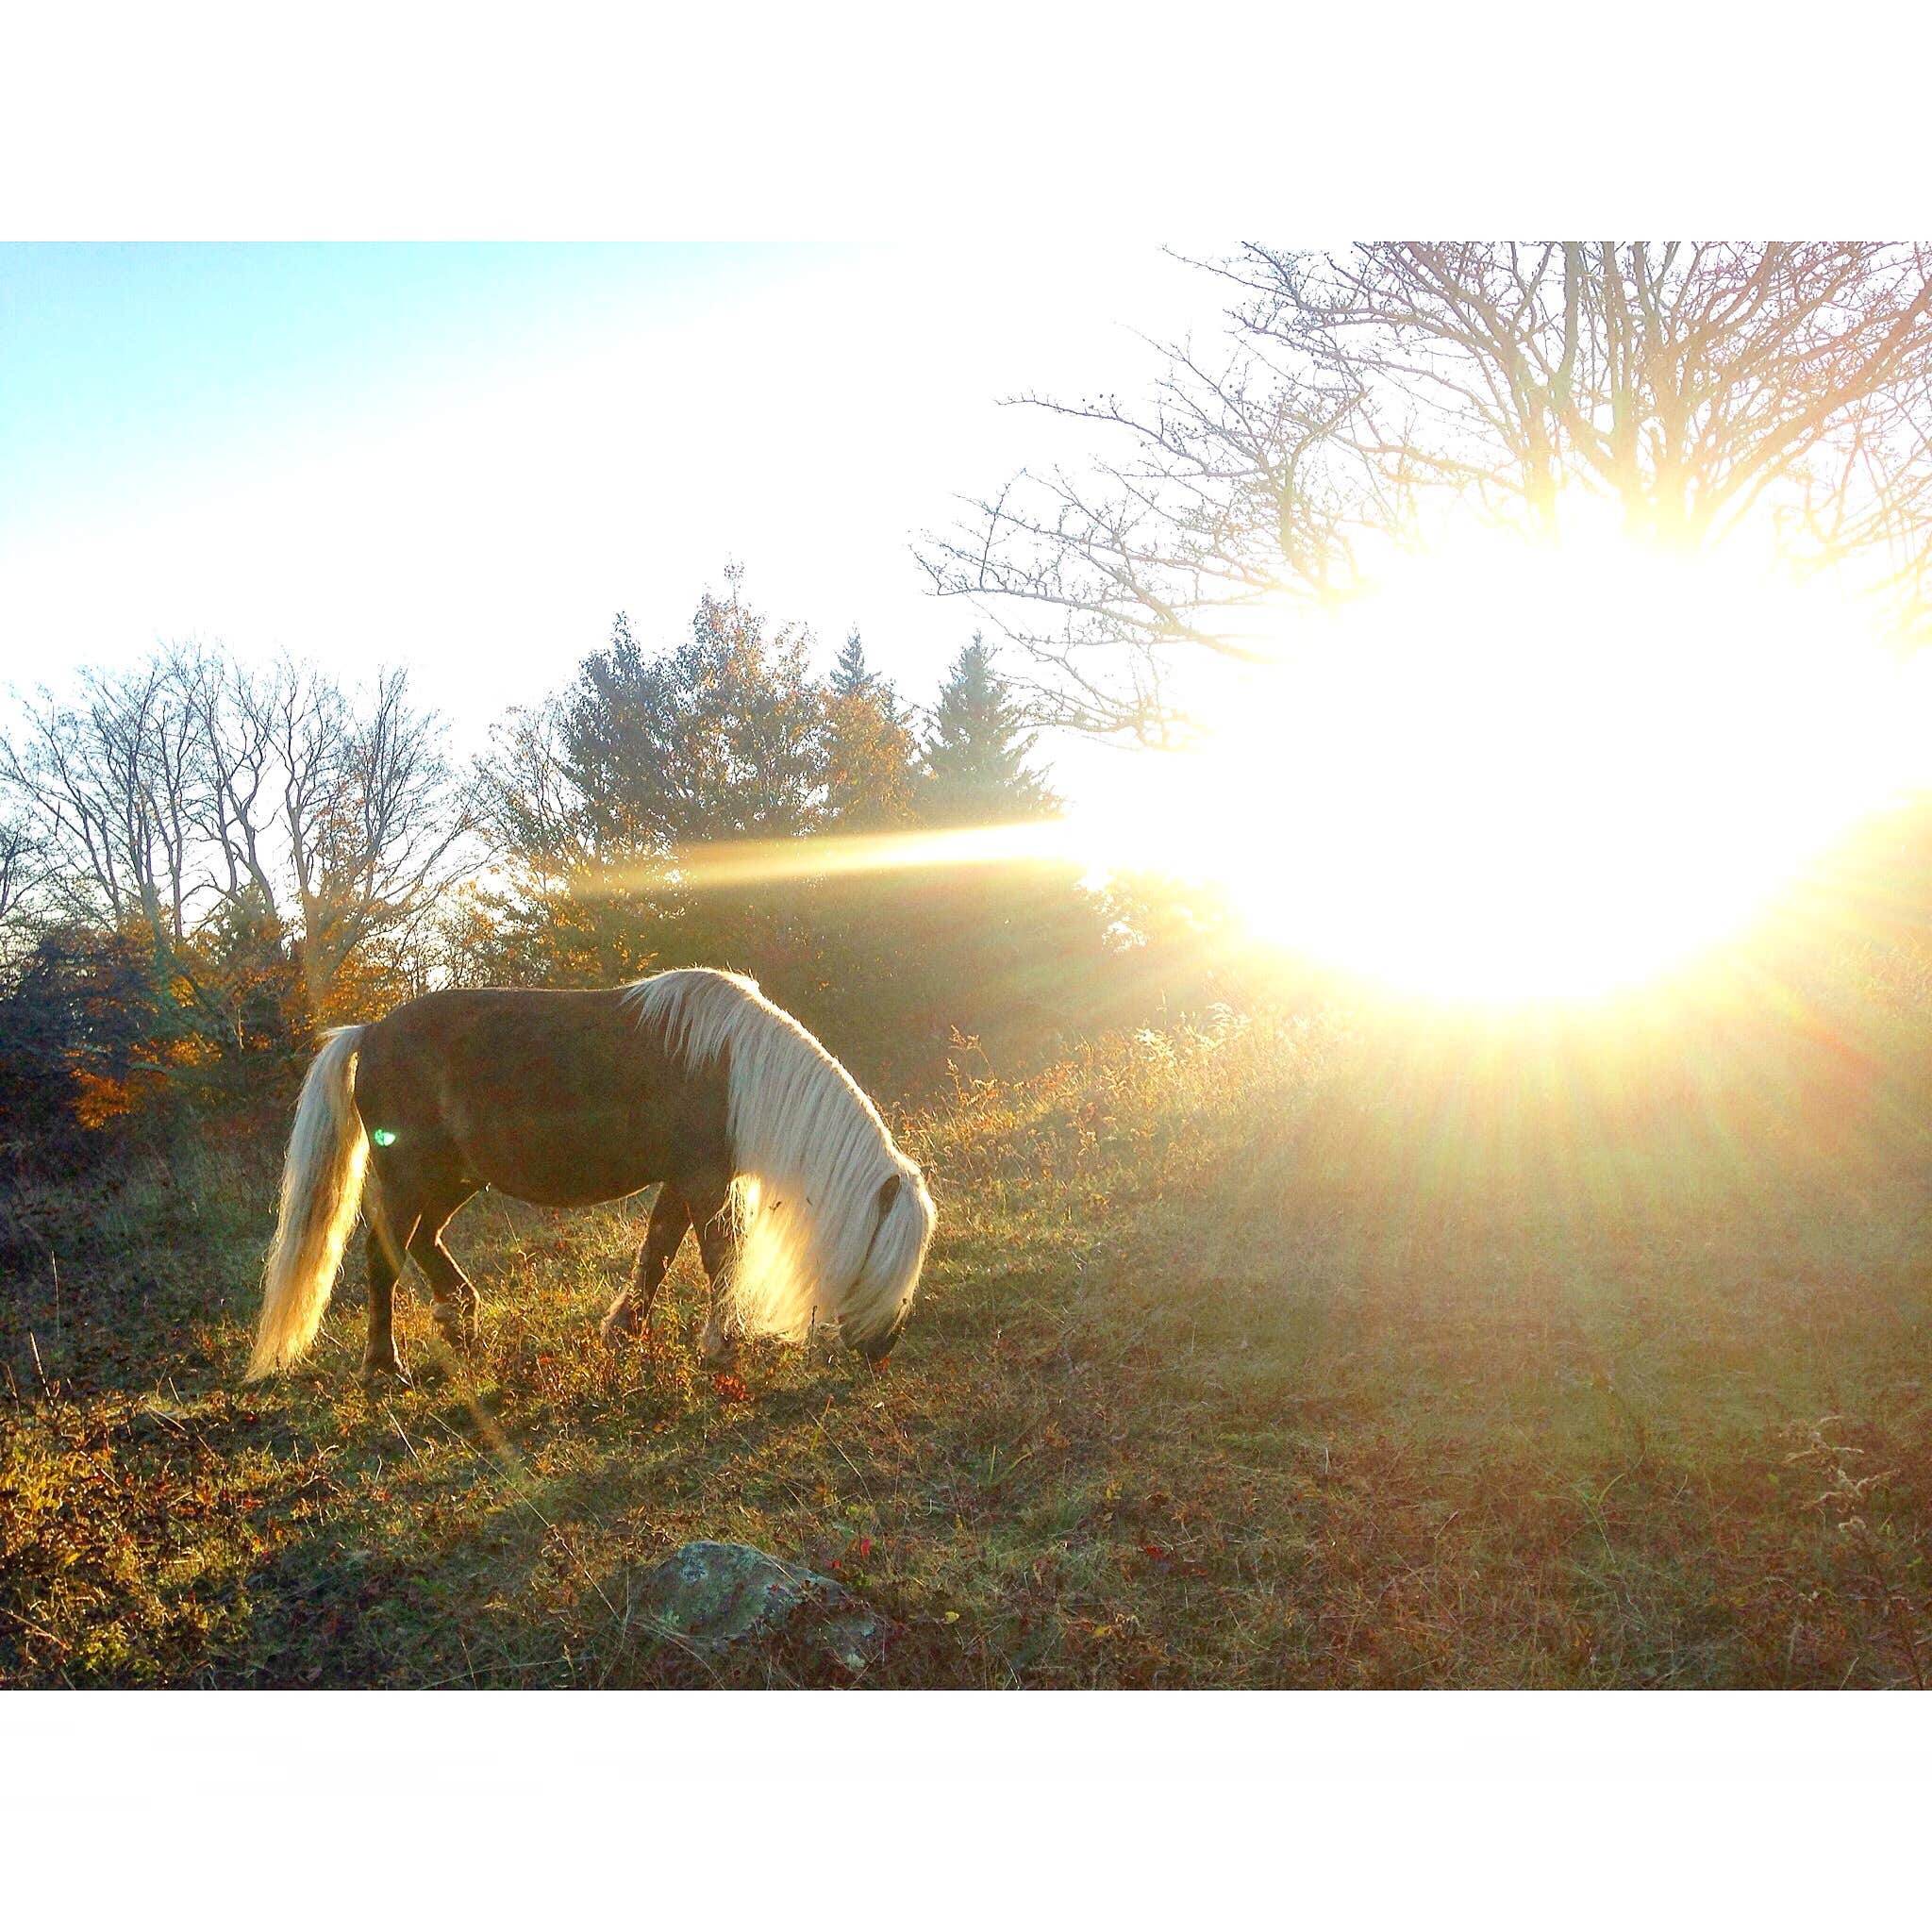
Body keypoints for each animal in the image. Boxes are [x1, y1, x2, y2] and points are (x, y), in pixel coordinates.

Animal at [244, 967, 937, 1384]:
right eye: (886, 1253)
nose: (883, 1348)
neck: (734, 1069)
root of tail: (370, 1031)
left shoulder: (682, 1181)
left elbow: (658, 1252)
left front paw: (625, 1330)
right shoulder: (704, 1180)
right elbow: (718, 1257)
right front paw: (722, 1345)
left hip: (454, 1178)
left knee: (423, 1240)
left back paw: (460, 1315)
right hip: (409, 1176)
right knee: (383, 1256)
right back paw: (384, 1366)